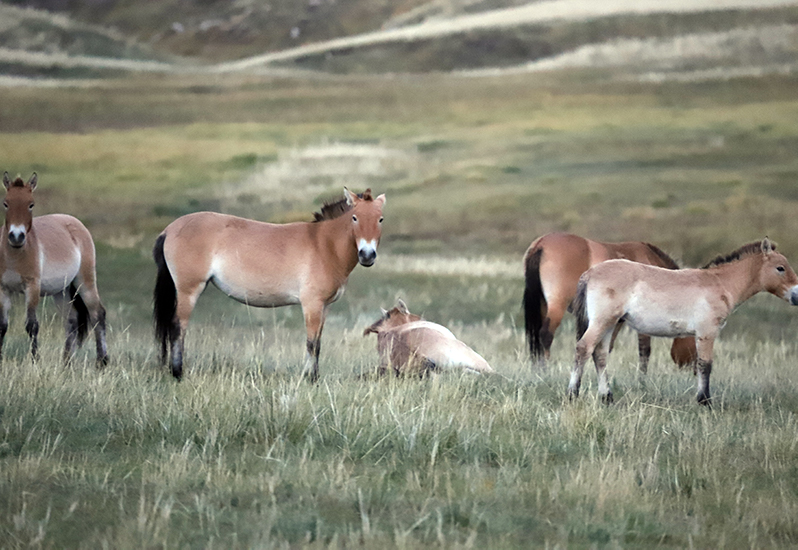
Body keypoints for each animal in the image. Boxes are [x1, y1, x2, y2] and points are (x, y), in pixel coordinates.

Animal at [0, 172, 108, 366]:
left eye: (31, 204)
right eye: (6, 203)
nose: (16, 237)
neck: (14, 256)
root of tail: (74, 221)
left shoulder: (32, 287)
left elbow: (32, 325)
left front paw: (35, 360)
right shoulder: (3, 289)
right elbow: (3, 326)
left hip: (85, 282)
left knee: (97, 314)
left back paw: (101, 361)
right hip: (61, 290)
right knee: (71, 320)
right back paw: (66, 362)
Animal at [154, 188, 388, 382]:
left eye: (380, 219)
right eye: (355, 217)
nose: (367, 255)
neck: (324, 245)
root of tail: (169, 229)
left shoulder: (325, 306)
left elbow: (318, 344)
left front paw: (315, 377)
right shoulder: (311, 304)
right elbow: (311, 343)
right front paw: (309, 379)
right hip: (188, 290)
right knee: (177, 327)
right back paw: (178, 374)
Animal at [520, 231, 696, 374]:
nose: (695, 369)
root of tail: (541, 244)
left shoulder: (612, 319)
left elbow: (603, 346)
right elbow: (644, 351)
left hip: (543, 305)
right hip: (557, 305)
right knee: (545, 335)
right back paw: (545, 372)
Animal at [568, 239, 798, 408]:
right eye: (780, 268)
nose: (797, 296)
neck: (719, 283)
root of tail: (589, 273)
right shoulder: (707, 332)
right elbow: (705, 364)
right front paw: (705, 402)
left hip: (609, 324)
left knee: (599, 355)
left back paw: (607, 397)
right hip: (602, 321)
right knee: (583, 348)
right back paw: (572, 394)